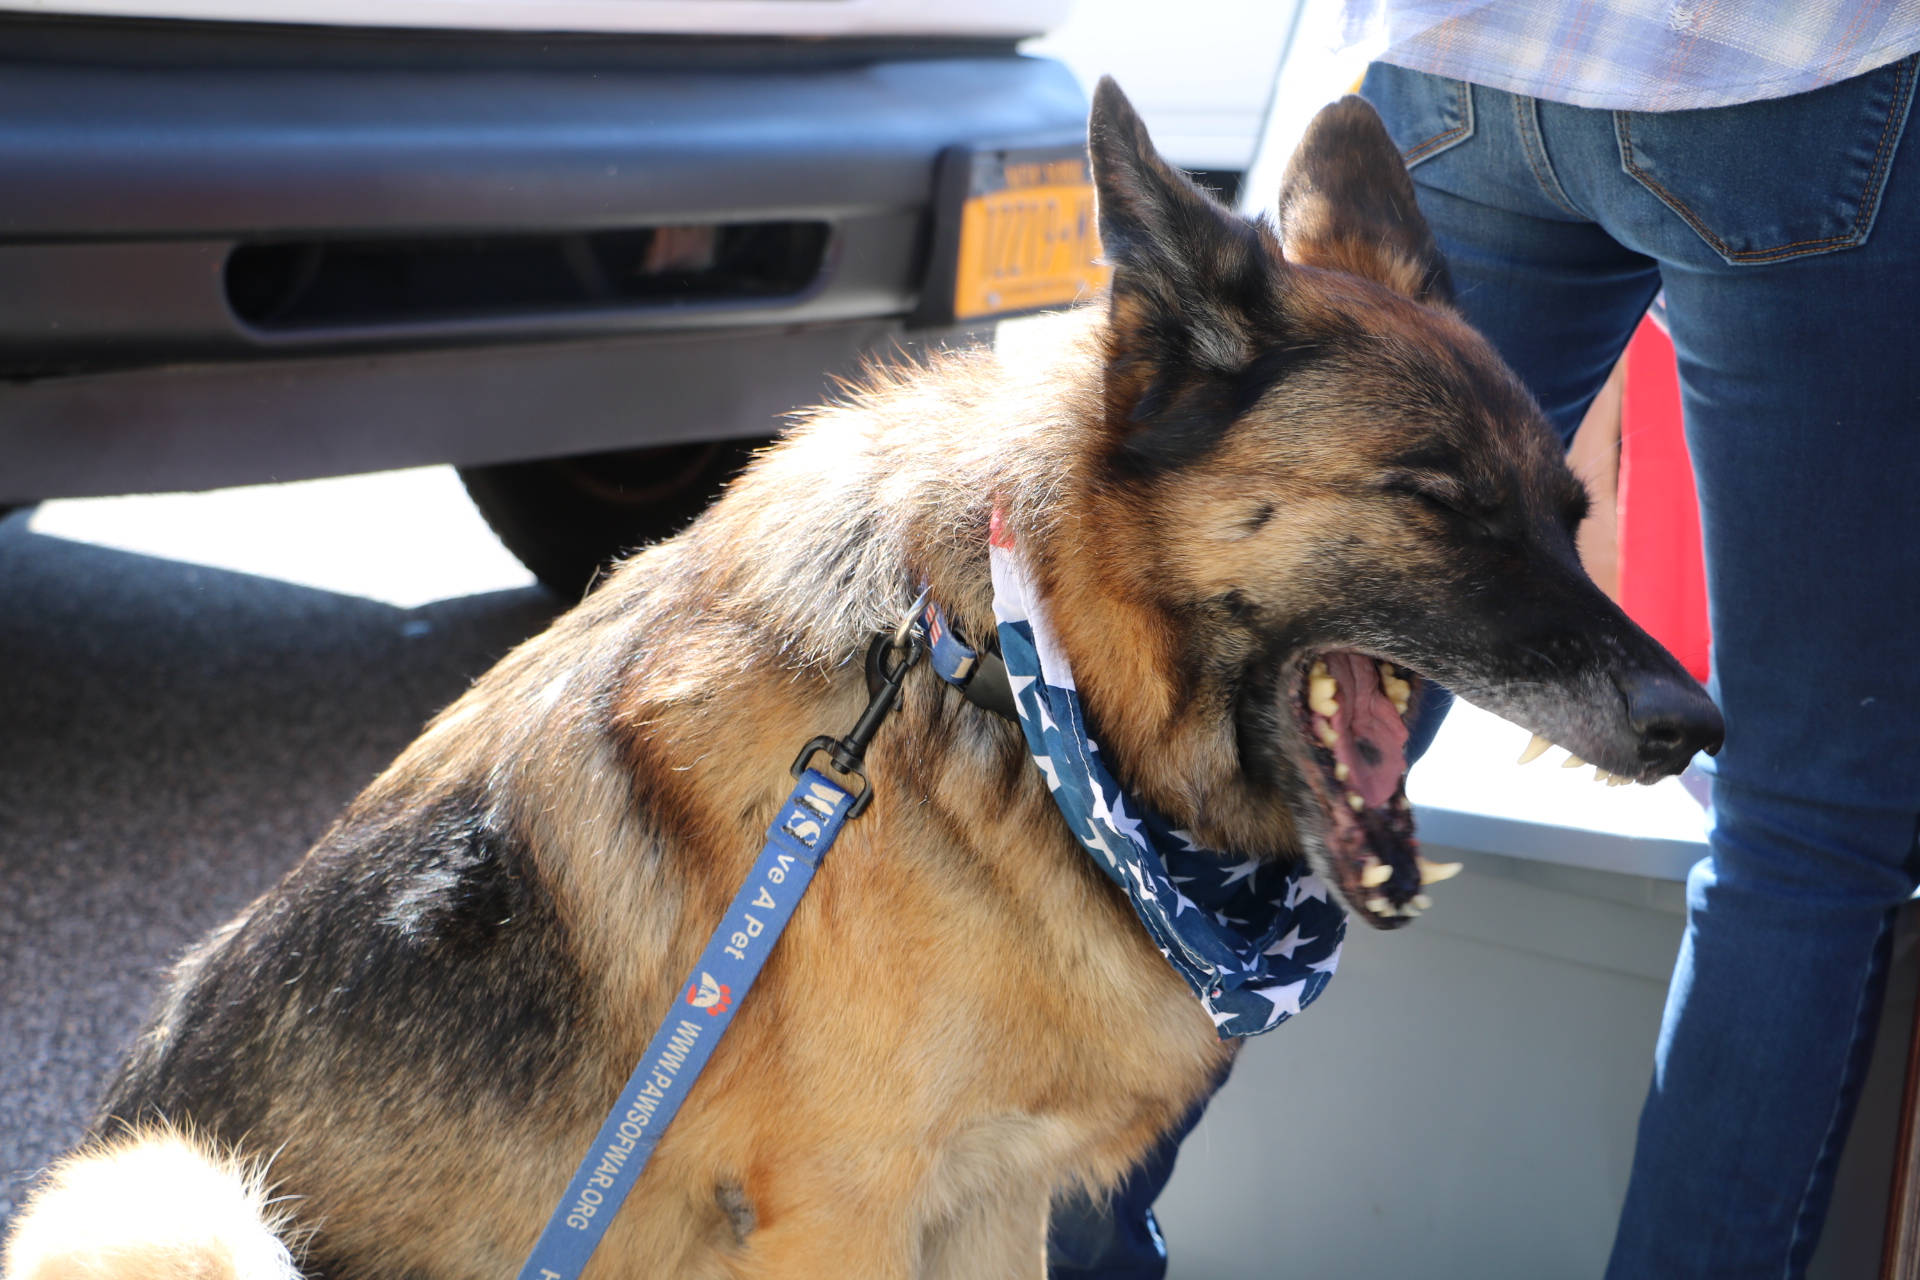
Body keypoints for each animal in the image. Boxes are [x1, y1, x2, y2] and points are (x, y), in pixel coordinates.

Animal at [7, 82, 1720, 1280]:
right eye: (1435, 500)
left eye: (1568, 512)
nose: (1693, 724)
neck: (1010, 680)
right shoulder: (843, 1211)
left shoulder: (994, 1202)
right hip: (164, 1193)